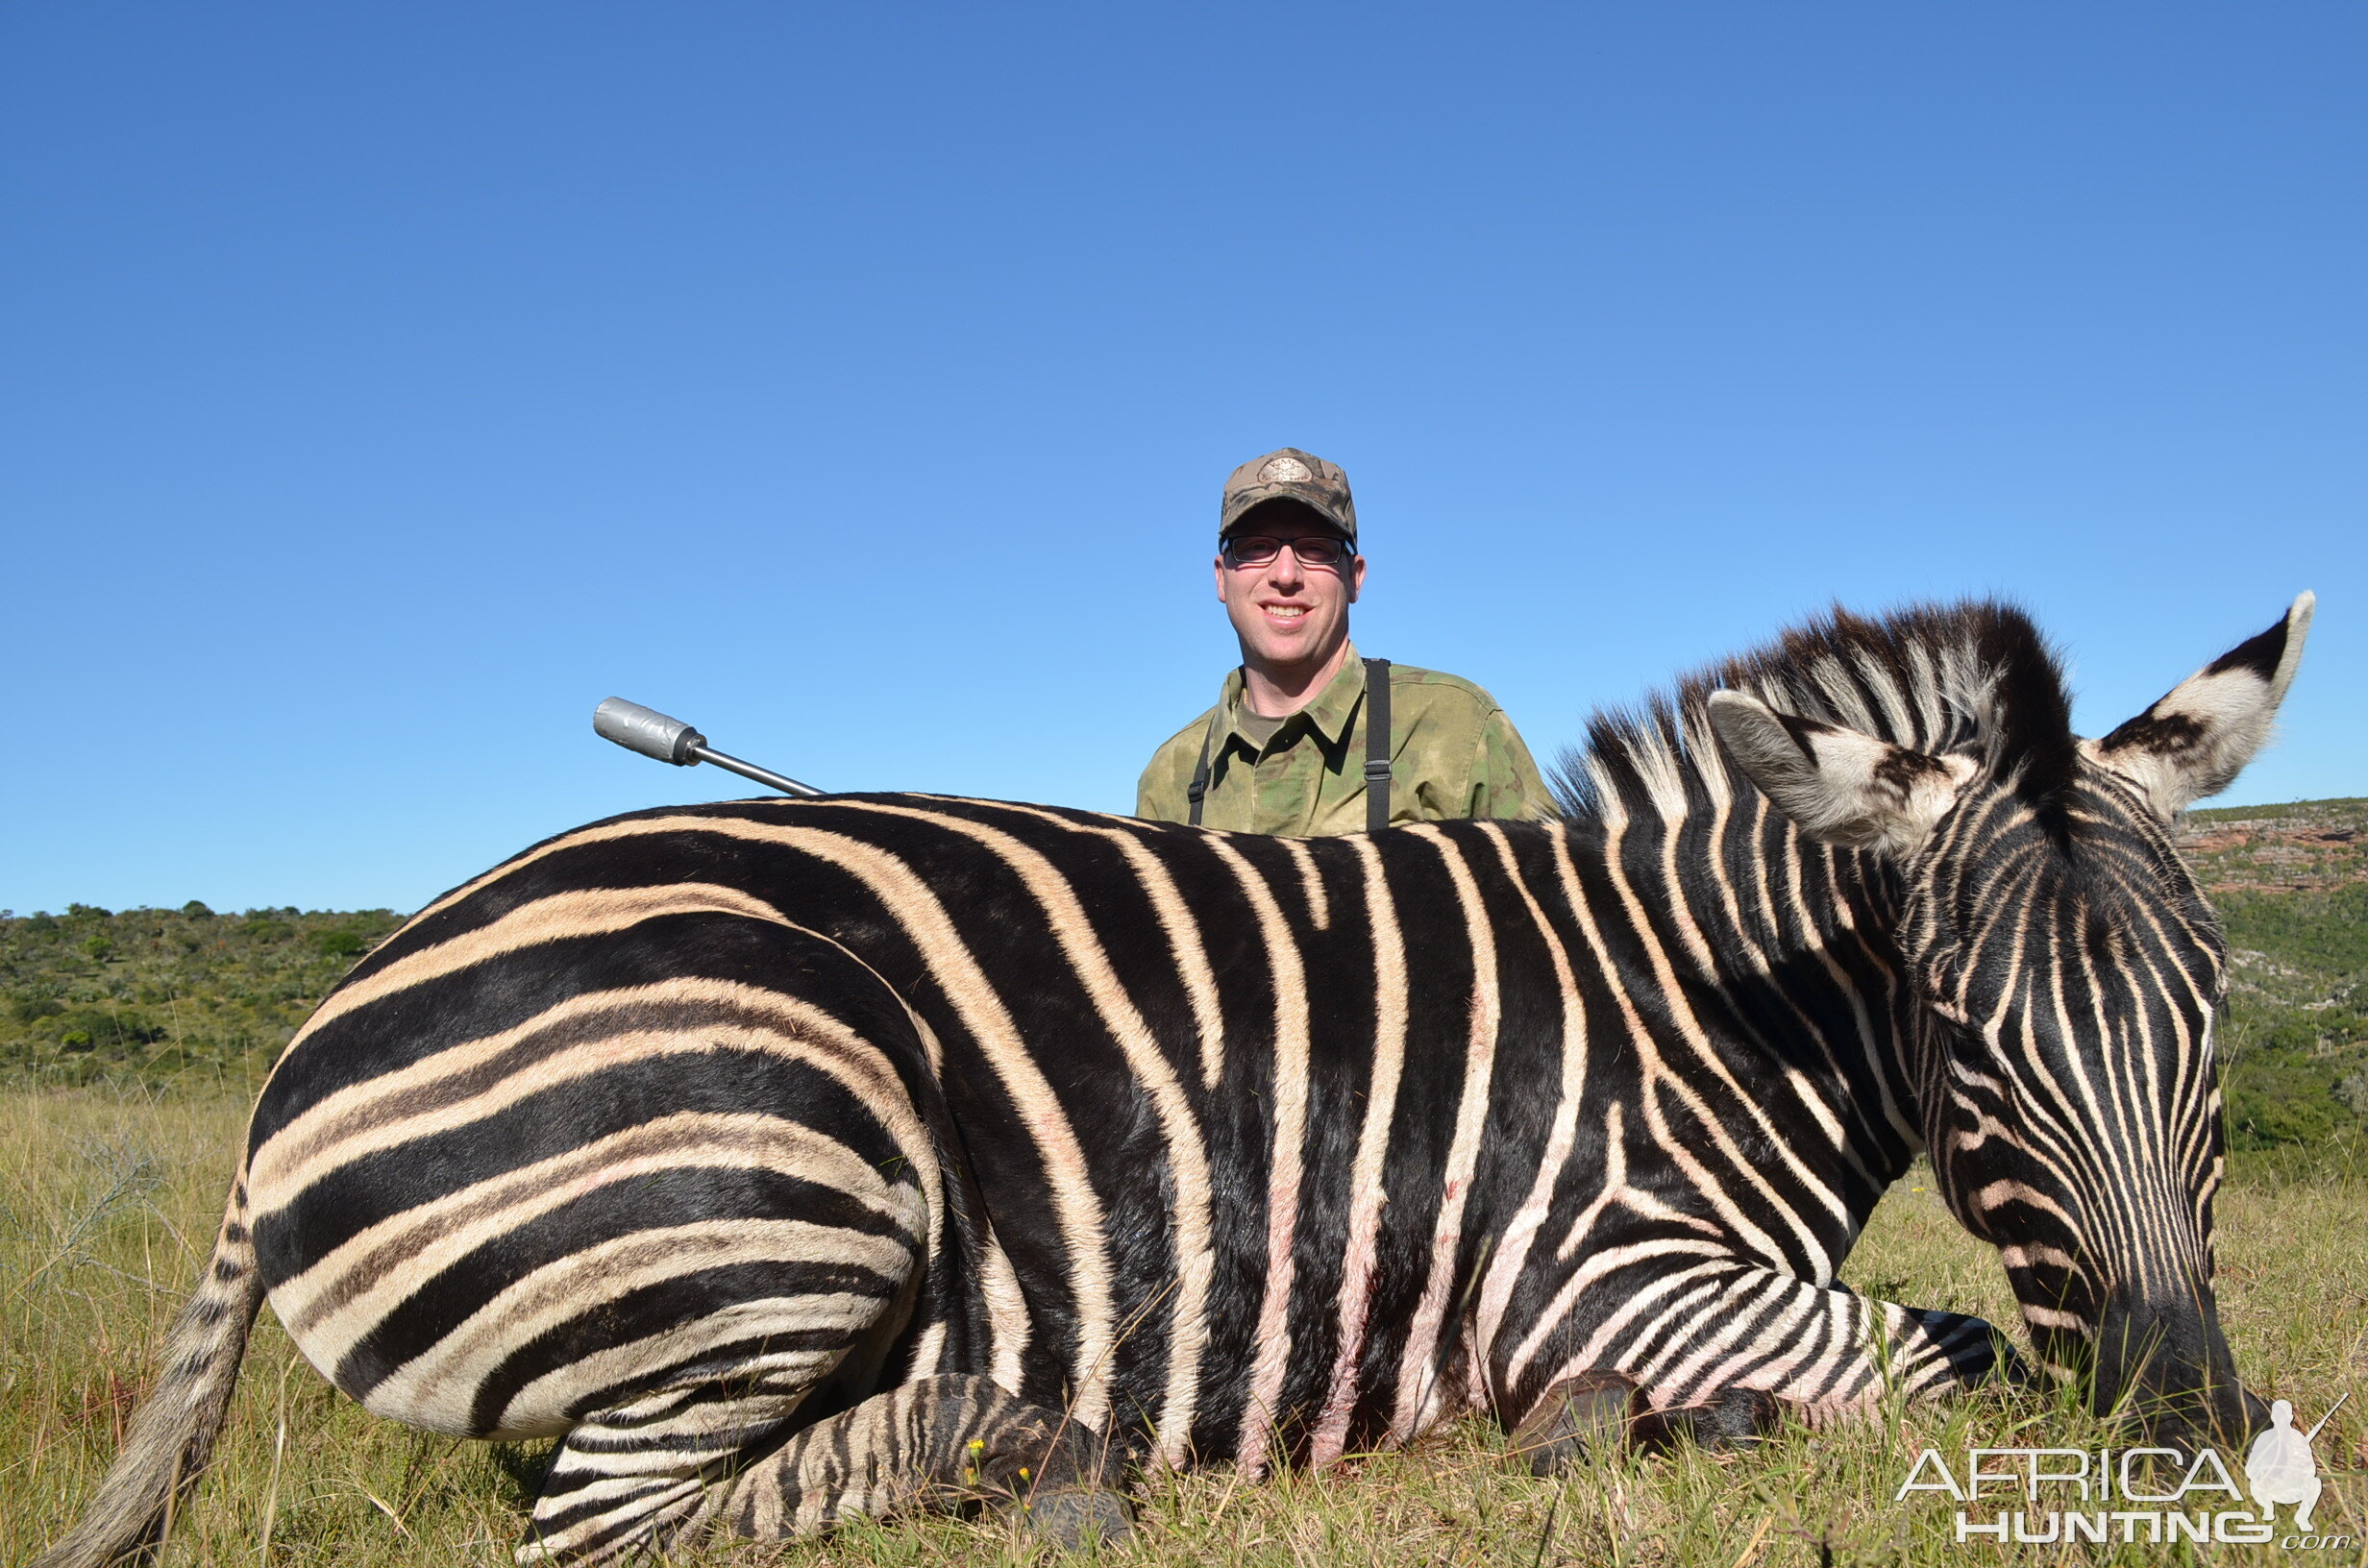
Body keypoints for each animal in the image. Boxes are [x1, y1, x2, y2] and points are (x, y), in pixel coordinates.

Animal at [37, 597, 2310, 1563]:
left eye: (2214, 1025)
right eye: (1961, 1038)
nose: (2187, 1437)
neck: (1701, 1003)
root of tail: (315, 1031)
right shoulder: (1595, 1273)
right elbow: (1949, 1356)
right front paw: (1619, 1429)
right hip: (800, 1141)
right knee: (607, 1525)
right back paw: (1025, 1450)